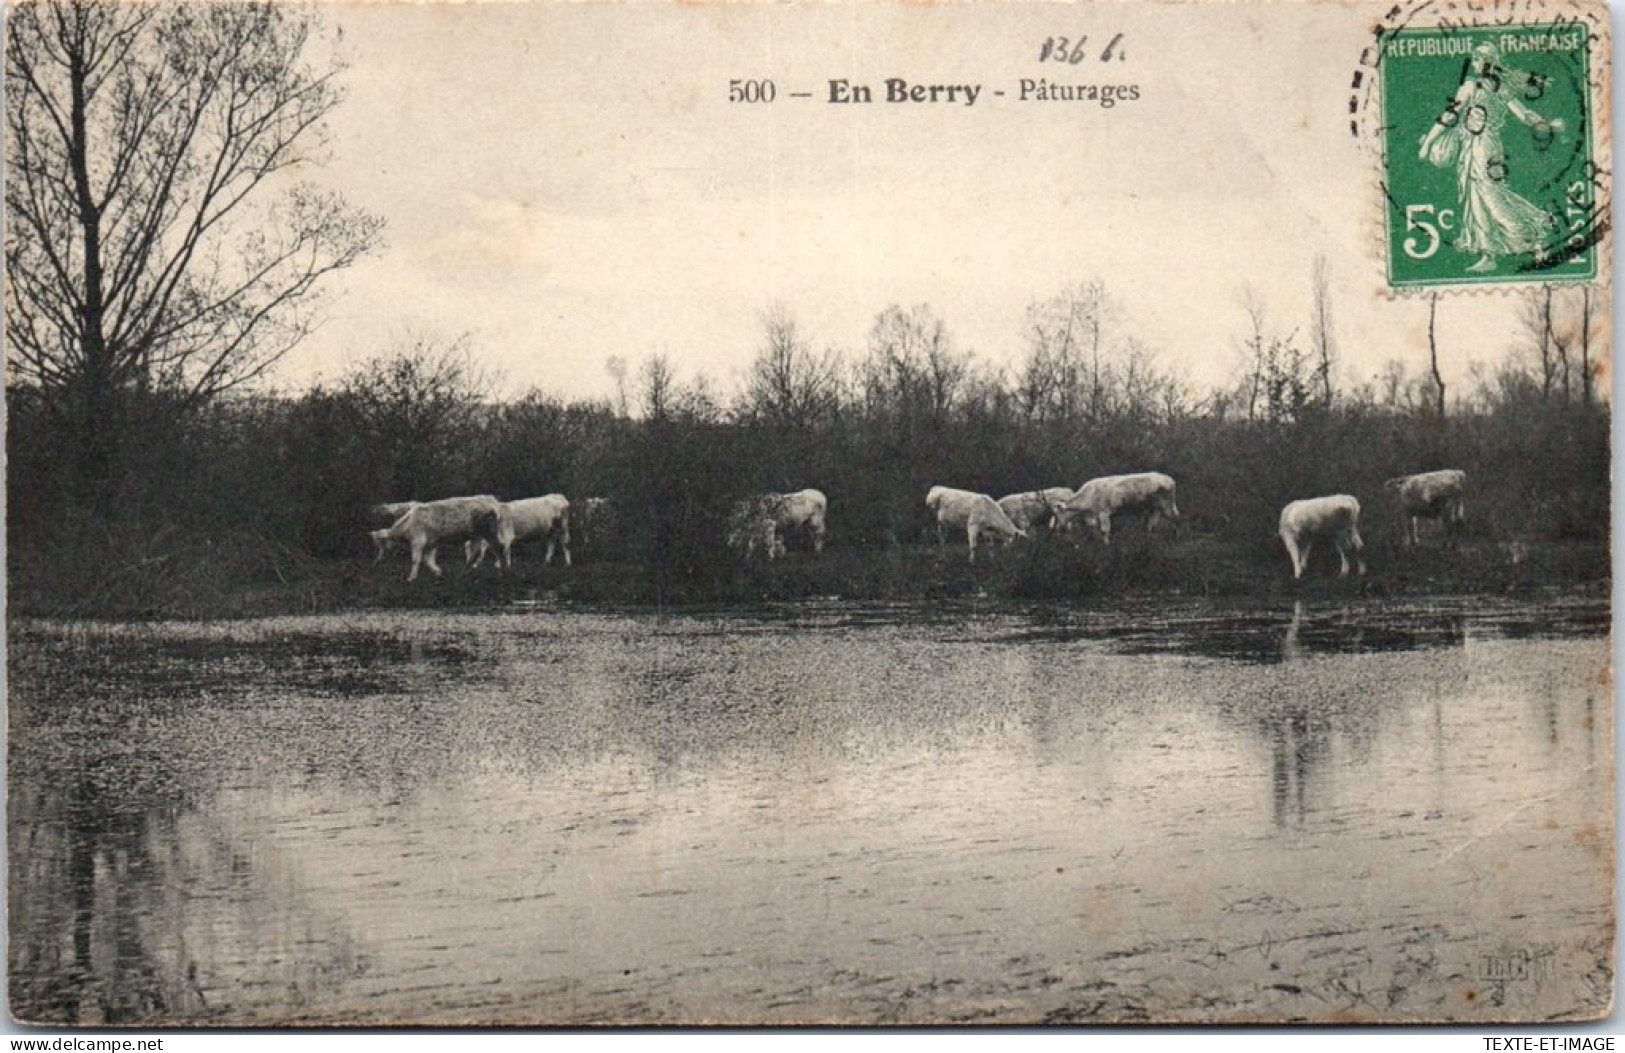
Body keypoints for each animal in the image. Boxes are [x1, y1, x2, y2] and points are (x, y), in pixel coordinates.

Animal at [1053, 474, 1183, 546]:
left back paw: (1176, 537)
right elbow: (1096, 531)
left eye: (1058, 513)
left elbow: (1104, 531)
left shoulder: (1103, 512)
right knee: (1153, 524)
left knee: (1176, 518)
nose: (1058, 528)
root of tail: (1169, 479)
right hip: (1155, 509)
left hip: (1166, 505)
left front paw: (1106, 546)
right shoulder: (1095, 516)